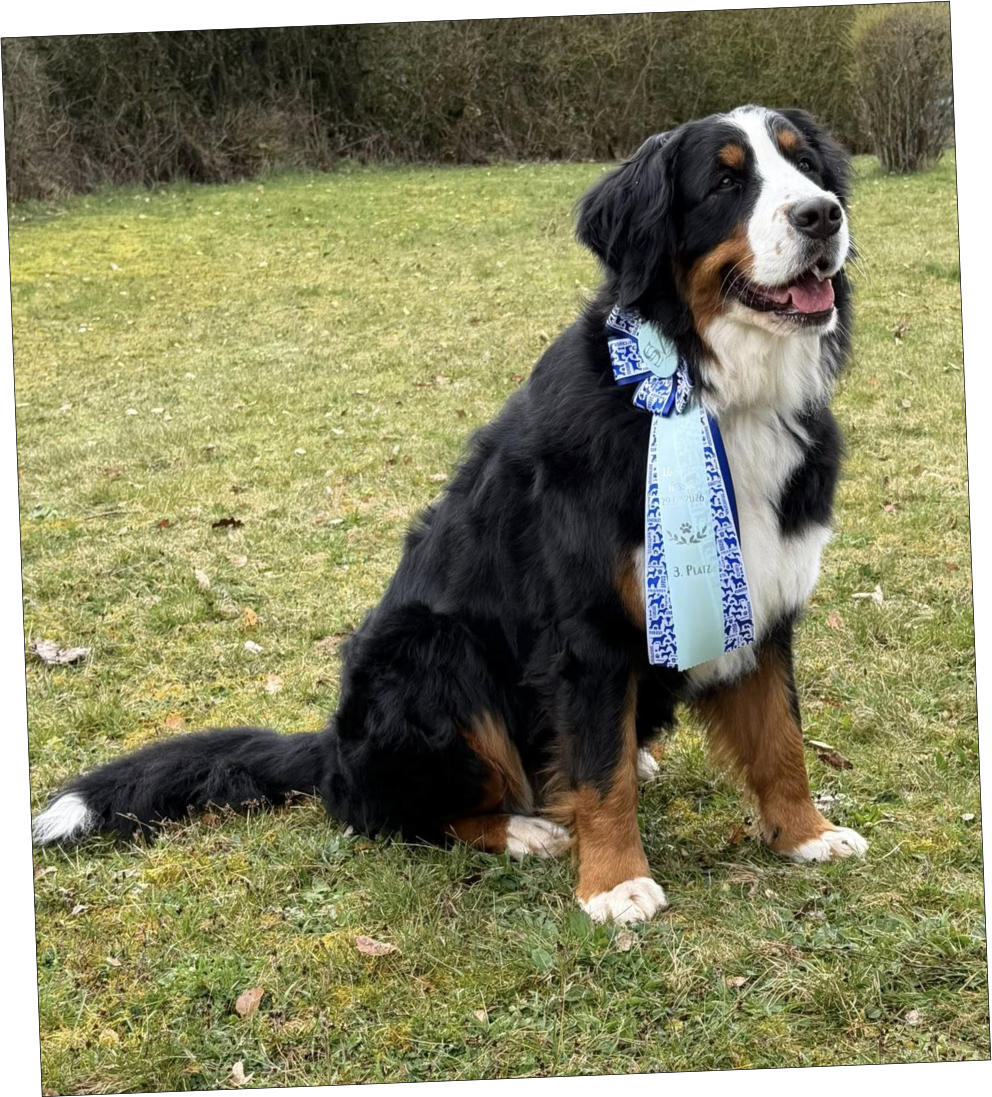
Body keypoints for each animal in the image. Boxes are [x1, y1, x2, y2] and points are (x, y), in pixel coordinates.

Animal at [33, 105, 868, 925]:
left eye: (805, 165)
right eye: (725, 183)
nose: (822, 215)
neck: (718, 392)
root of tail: (332, 746)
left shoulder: (763, 601)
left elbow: (780, 738)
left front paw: (806, 833)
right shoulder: (587, 630)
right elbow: (601, 775)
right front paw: (615, 882)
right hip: (433, 650)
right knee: (388, 810)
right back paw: (523, 828)